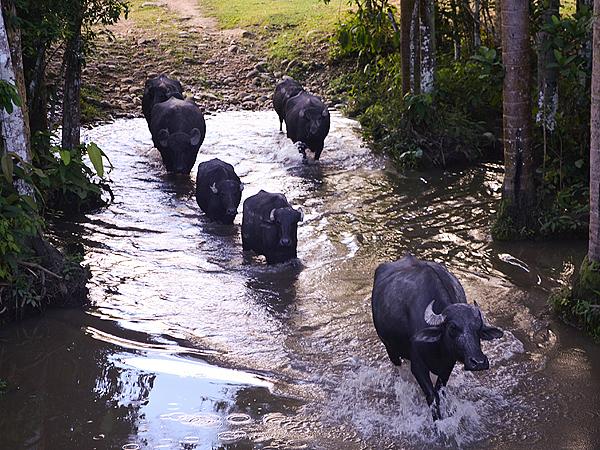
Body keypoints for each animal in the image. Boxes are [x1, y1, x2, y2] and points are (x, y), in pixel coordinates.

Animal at [370, 255, 502, 420]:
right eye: (452, 327)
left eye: (478, 328)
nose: (478, 362)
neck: (437, 347)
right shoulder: (418, 365)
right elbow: (432, 396)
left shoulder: (448, 364)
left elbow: (440, 391)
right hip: (390, 349)